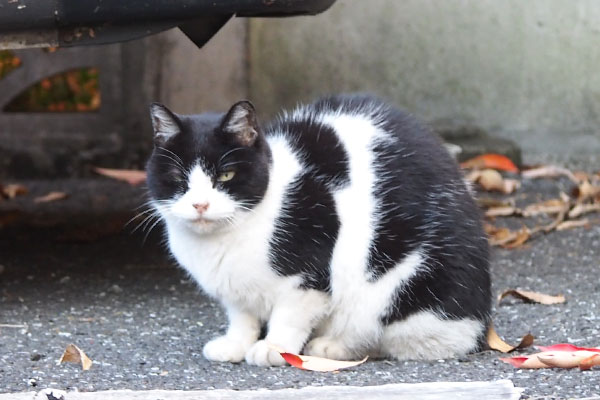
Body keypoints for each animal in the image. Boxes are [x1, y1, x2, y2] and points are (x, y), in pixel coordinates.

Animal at [146, 94, 492, 366]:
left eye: (226, 175)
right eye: (178, 177)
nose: (200, 205)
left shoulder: (308, 275)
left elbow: (290, 315)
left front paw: (275, 347)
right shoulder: (235, 291)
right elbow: (241, 317)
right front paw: (236, 343)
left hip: (404, 286)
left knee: (399, 338)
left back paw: (332, 347)